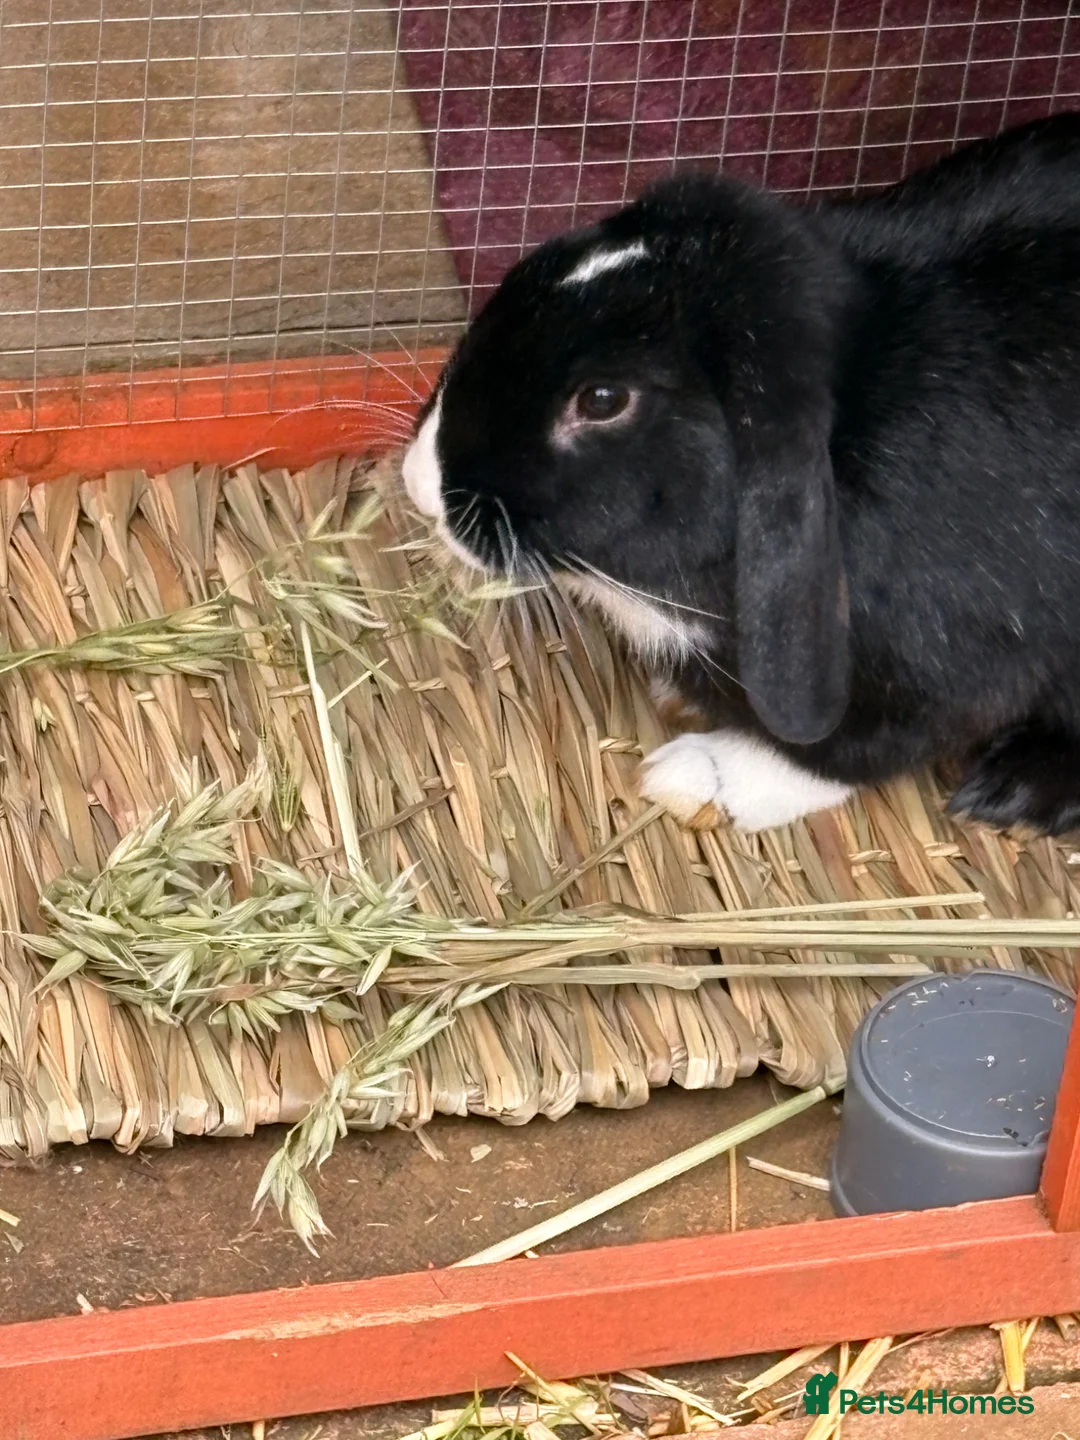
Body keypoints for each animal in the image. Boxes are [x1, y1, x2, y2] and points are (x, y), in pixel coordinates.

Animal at [403, 113, 1080, 837]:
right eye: (531, 265)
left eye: (603, 400)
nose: (421, 484)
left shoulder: (940, 675)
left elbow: (845, 752)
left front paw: (700, 776)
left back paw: (1016, 789)